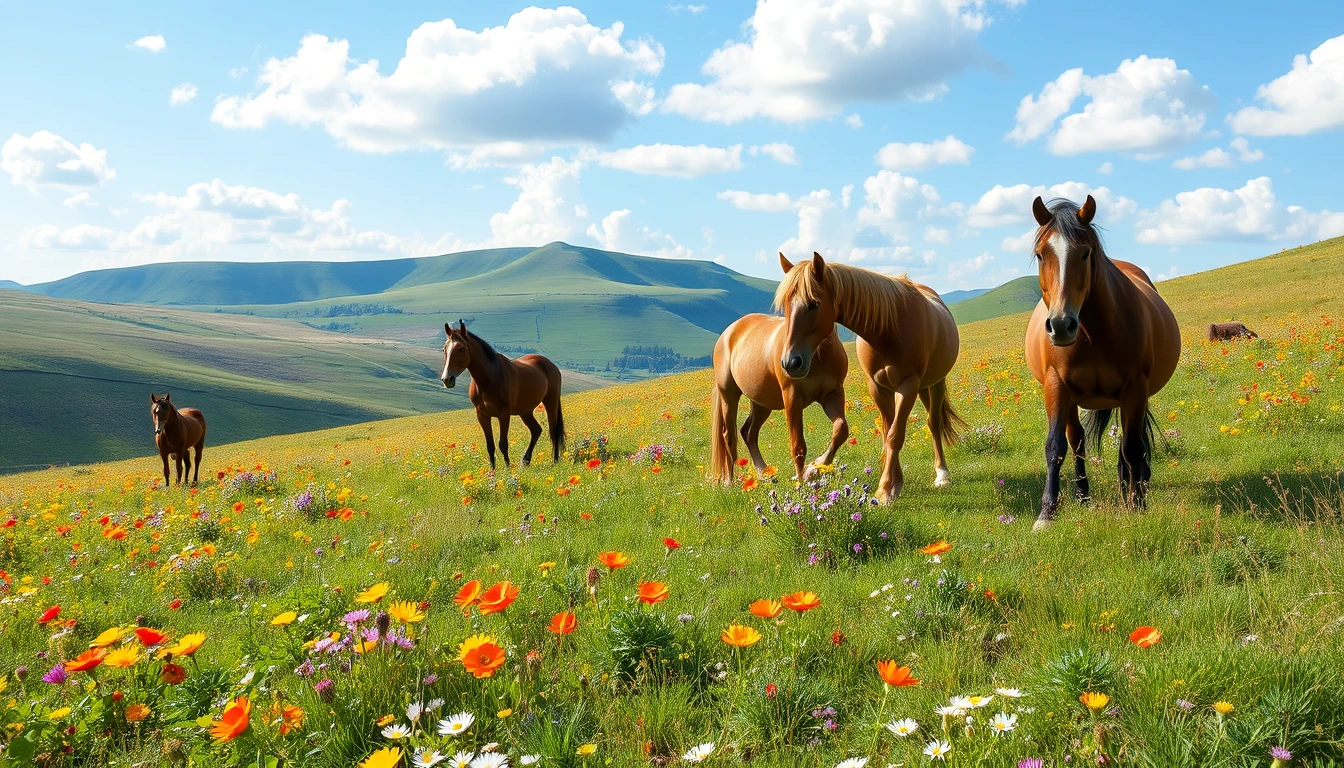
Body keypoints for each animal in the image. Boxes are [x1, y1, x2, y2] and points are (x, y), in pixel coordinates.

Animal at [440, 320, 565, 468]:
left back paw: (555, 461)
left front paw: (507, 469)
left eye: (461, 348)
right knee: (536, 430)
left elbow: (503, 444)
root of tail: (551, 365)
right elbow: (490, 446)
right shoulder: (482, 415)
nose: (447, 379)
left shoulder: (504, 414)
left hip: (551, 402)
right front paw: (493, 471)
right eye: (444, 349)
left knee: (553, 431)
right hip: (525, 411)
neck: (490, 378)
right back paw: (525, 460)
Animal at [709, 300, 850, 484]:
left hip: (761, 404)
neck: (818, 355)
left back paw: (764, 474)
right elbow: (798, 446)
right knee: (728, 437)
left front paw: (815, 467)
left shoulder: (833, 395)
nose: (791, 362)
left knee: (748, 433)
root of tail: (727, 333)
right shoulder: (792, 397)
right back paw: (729, 482)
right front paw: (802, 482)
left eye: (815, 304)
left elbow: (841, 430)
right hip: (728, 395)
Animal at [775, 252, 964, 504]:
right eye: (786, 306)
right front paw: (815, 468)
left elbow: (895, 435)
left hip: (935, 383)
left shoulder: (908, 384)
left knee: (934, 422)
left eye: (814, 303)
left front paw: (886, 488)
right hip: (917, 387)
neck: (889, 329)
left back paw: (942, 474)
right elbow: (887, 432)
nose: (790, 363)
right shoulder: (877, 387)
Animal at [1024, 195, 1180, 530]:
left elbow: (1132, 447)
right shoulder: (1057, 386)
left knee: (1130, 441)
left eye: (1085, 253)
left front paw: (1137, 503)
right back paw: (1083, 496)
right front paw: (1047, 513)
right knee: (1077, 441)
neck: (1091, 333)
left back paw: (1133, 484)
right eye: (1041, 255)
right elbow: (1056, 447)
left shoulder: (1135, 388)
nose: (1061, 325)